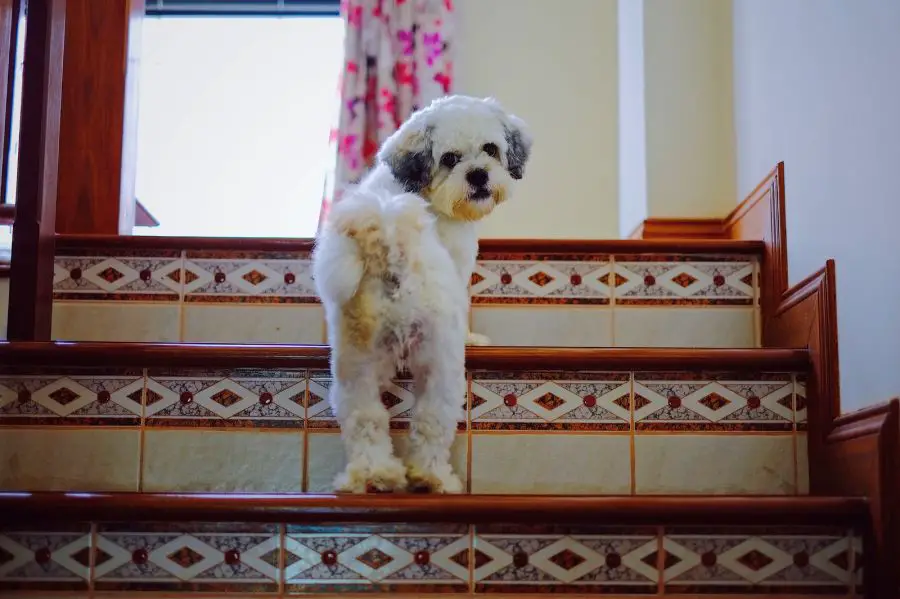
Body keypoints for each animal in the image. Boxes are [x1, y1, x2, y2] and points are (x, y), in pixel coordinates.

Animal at [312, 95, 532, 496]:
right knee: (431, 420)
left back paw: (373, 474)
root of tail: (390, 248)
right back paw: (433, 477)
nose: (478, 175)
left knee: (365, 418)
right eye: (450, 159)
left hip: (355, 365)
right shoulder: (458, 264)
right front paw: (472, 337)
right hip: (440, 362)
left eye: (491, 149)